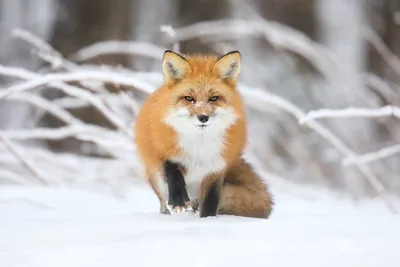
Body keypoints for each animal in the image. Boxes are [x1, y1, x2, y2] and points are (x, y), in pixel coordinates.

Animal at [134, 49, 276, 219]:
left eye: (213, 98)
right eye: (189, 98)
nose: (203, 117)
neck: (199, 145)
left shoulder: (217, 165)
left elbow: (211, 199)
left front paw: (208, 220)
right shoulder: (162, 149)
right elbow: (173, 171)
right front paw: (178, 201)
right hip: (156, 177)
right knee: (164, 198)